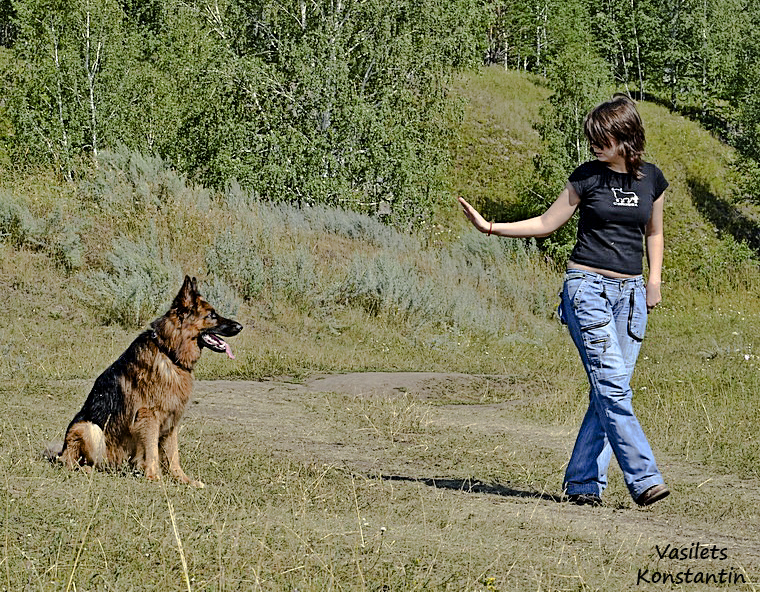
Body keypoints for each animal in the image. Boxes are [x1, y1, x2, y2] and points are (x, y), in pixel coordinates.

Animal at [51, 276, 240, 486]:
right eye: (212, 315)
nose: (240, 327)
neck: (168, 352)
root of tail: (61, 453)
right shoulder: (149, 417)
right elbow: (152, 452)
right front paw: (155, 477)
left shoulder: (172, 419)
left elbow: (174, 455)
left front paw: (183, 479)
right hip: (88, 428)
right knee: (77, 463)